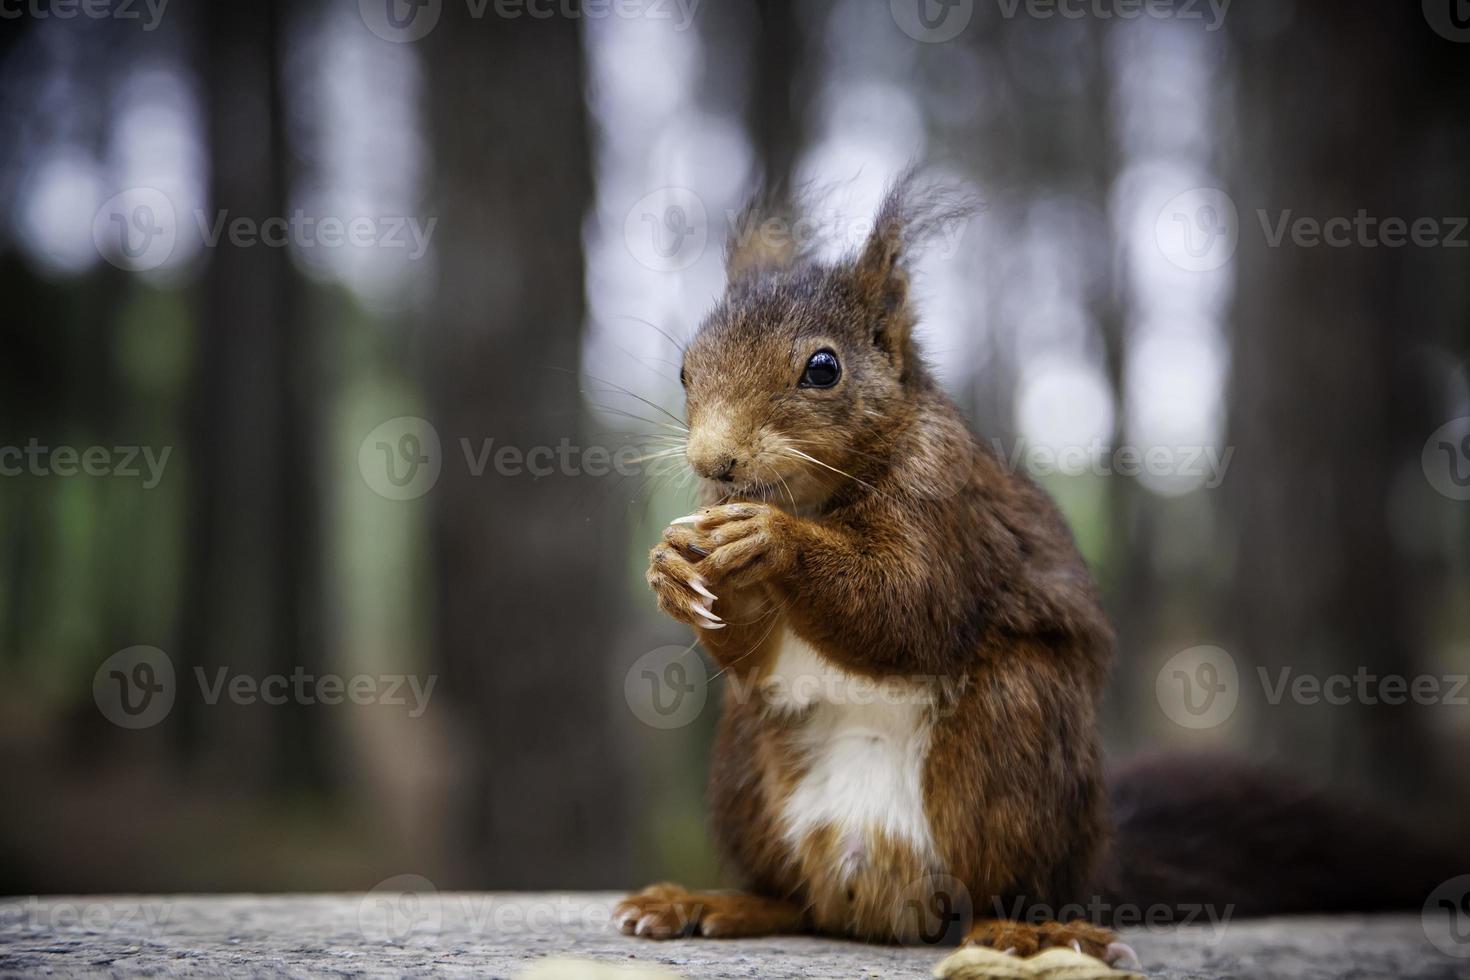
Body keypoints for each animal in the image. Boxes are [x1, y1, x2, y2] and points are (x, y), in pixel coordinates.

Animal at [608, 172, 1458, 963]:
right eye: (684, 370)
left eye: (823, 368)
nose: (714, 462)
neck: (817, 494)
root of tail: (876, 897)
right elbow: (758, 653)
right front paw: (671, 565)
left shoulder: (954, 511)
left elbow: (909, 609)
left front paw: (772, 538)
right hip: (745, 764)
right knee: (794, 898)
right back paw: (712, 902)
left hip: (1017, 734)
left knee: (998, 884)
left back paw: (1024, 931)